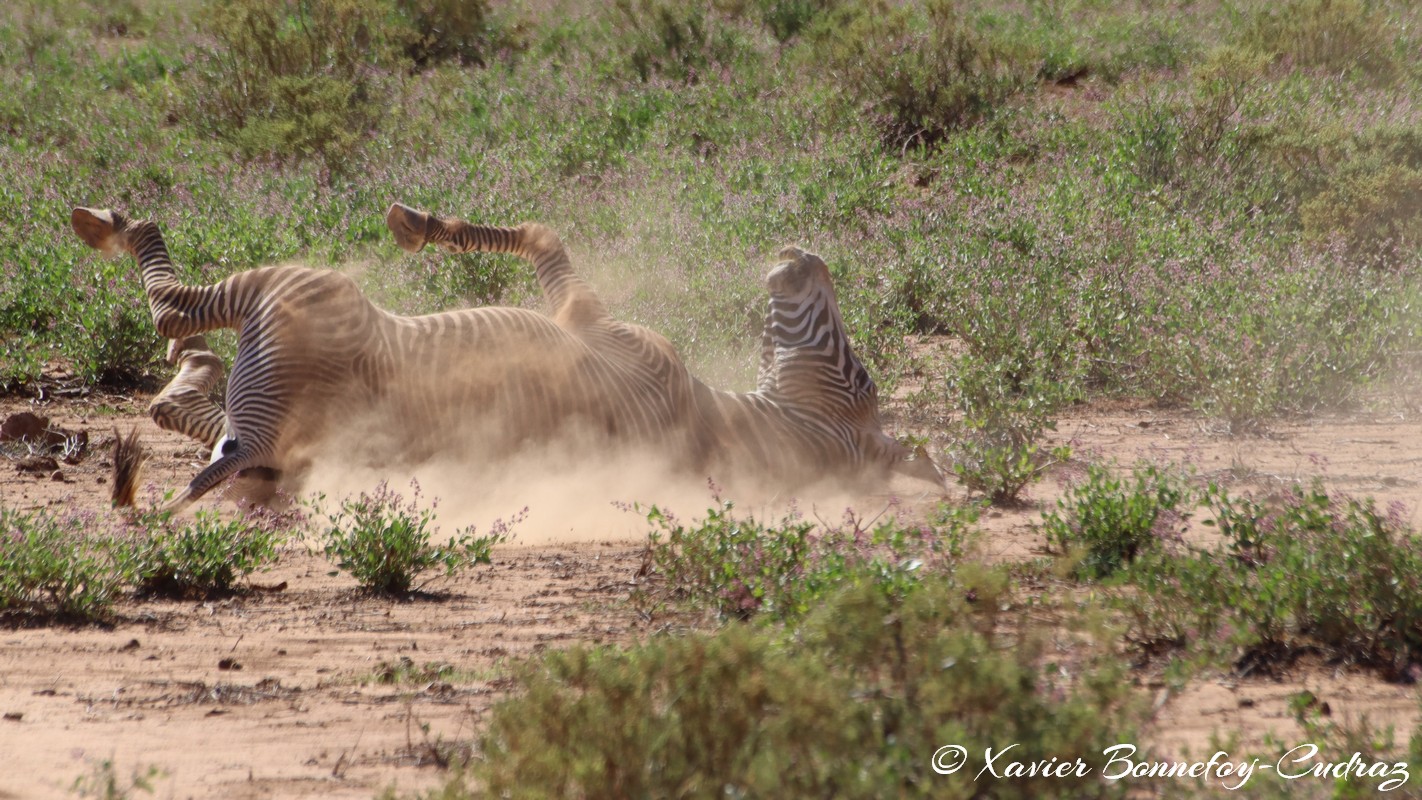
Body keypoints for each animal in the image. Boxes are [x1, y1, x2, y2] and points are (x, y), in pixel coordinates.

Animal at [72, 206, 705, 514]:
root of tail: (255, 444)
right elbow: (538, 233)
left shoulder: (591, 317)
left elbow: (541, 233)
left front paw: (422, 226)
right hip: (259, 442)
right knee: (181, 402)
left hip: (285, 294)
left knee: (171, 312)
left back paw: (105, 226)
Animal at [389, 203, 944, 491]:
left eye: (862, 380)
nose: (809, 252)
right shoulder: (585, 316)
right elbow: (538, 233)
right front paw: (421, 226)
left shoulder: (595, 319)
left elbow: (543, 236)